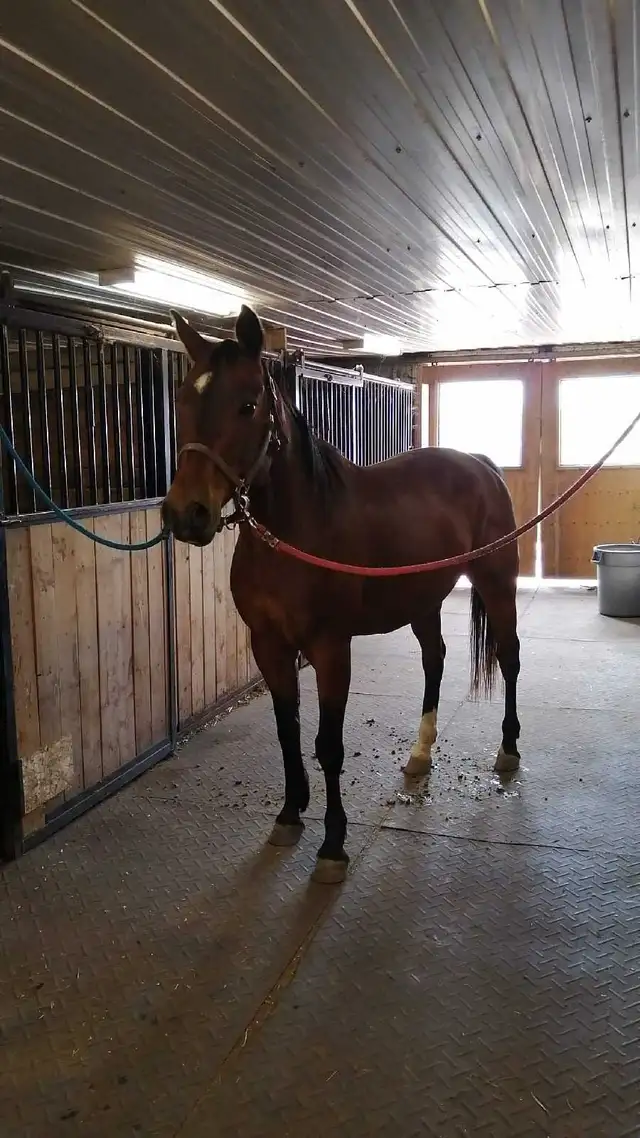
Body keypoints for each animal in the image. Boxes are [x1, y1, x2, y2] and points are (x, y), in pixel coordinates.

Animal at [161, 305, 521, 884]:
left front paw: (333, 844)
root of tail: (479, 463)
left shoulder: (331, 649)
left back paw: (508, 749)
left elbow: (328, 745)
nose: (185, 515)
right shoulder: (270, 646)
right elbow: (287, 731)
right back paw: (420, 754)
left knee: (508, 657)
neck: (296, 533)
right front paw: (290, 814)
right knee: (435, 660)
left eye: (247, 405)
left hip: (496, 581)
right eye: (183, 402)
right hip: (422, 599)